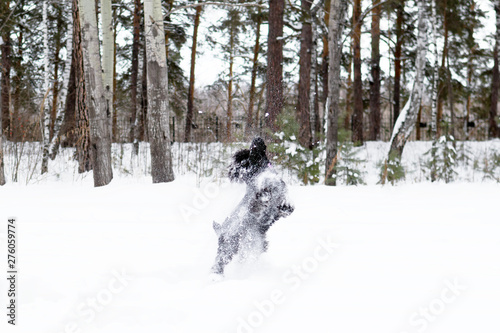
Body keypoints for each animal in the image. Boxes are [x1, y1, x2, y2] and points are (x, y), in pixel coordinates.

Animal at [211, 137, 292, 274]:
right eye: (249, 153)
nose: (257, 139)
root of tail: (220, 230)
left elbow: (283, 207)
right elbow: (264, 191)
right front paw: (265, 195)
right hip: (229, 247)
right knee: (219, 263)